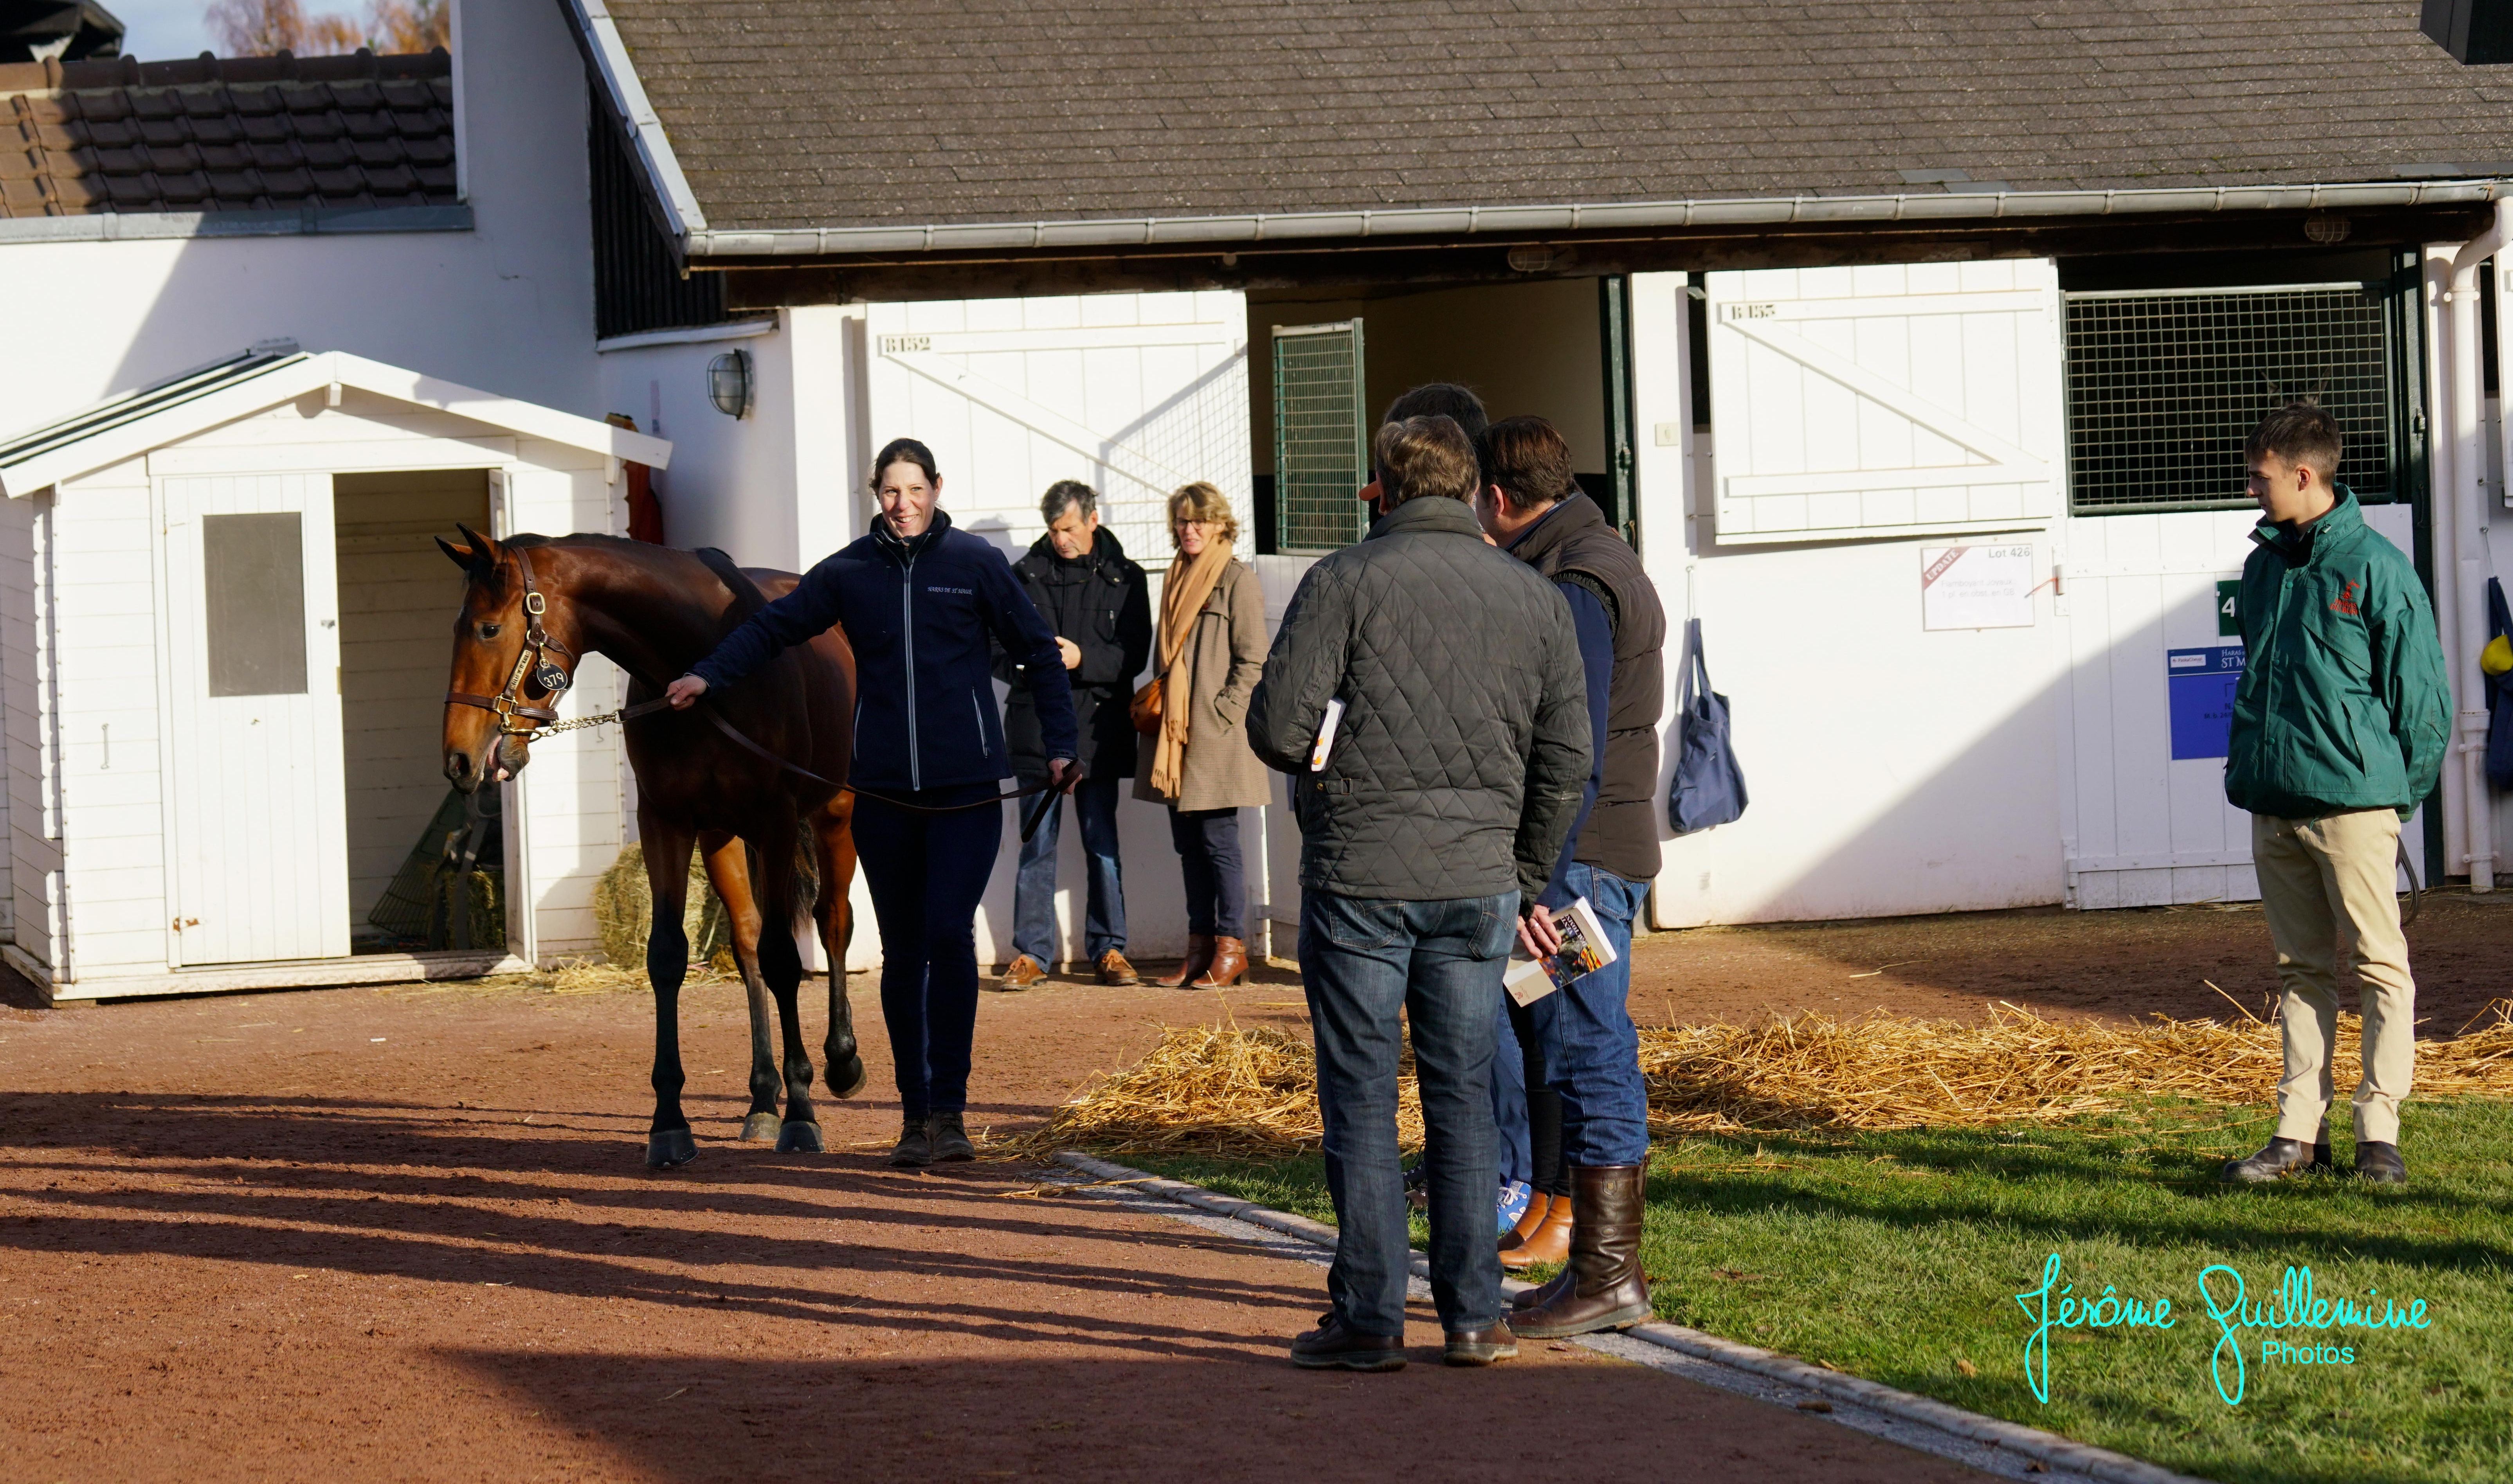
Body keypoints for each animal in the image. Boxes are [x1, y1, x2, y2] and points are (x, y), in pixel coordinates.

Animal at [434, 532, 864, 1175]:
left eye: (488, 628)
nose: (458, 758)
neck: (702, 661)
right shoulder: (667, 823)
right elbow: (668, 957)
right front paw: (669, 1124)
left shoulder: (778, 819)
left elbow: (787, 958)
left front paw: (803, 1113)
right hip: (724, 837)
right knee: (747, 942)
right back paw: (762, 1098)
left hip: (833, 811)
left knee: (832, 922)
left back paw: (839, 1062)